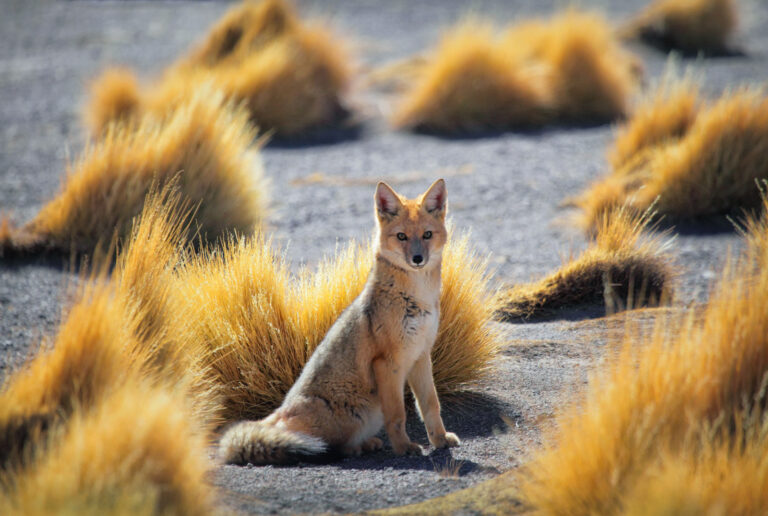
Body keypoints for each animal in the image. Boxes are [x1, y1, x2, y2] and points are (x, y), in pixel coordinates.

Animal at [219, 178, 460, 464]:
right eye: (401, 236)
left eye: (427, 235)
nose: (417, 259)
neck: (417, 298)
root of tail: (277, 414)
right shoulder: (388, 363)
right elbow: (398, 415)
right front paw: (404, 448)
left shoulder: (420, 356)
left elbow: (431, 405)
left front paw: (440, 440)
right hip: (356, 415)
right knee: (330, 447)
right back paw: (357, 448)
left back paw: (368, 444)